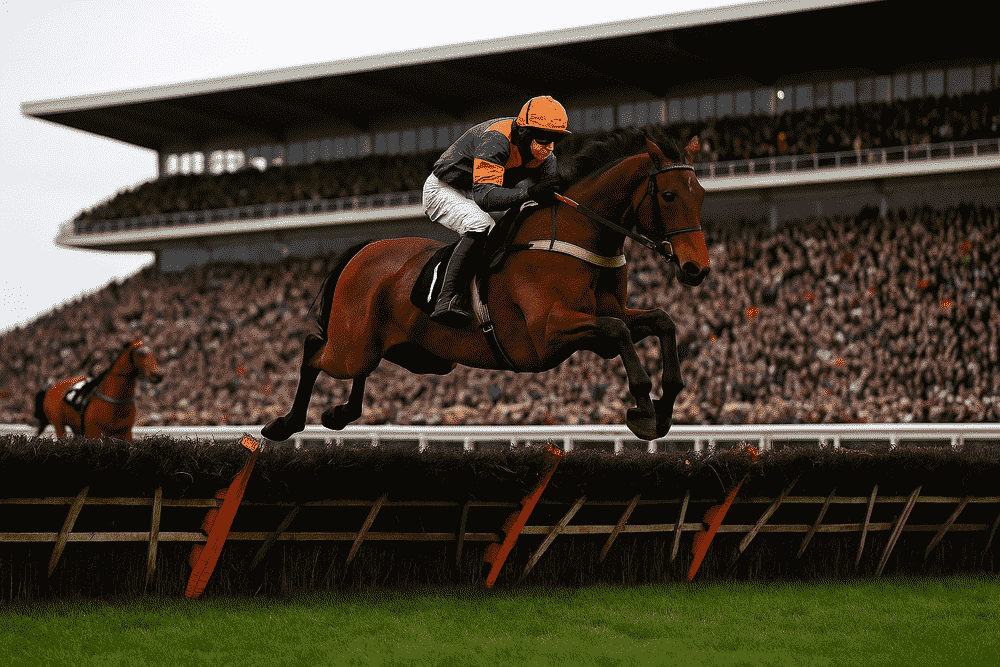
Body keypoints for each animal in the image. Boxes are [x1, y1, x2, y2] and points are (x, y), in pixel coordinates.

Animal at [34, 340, 164, 441]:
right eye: (141, 354)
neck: (114, 402)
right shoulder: (93, 433)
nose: (158, 375)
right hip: (58, 425)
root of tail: (50, 388)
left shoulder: (125, 433)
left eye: (152, 353)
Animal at [262, 129, 710, 442]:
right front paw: (644, 410)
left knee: (359, 367)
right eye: (669, 195)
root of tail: (365, 249)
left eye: (701, 194)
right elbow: (619, 333)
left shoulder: (604, 318)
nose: (697, 269)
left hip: (415, 354)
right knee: (314, 349)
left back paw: (339, 413)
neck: (577, 235)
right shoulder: (548, 331)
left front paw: (664, 404)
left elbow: (662, 320)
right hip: (352, 344)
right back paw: (284, 424)